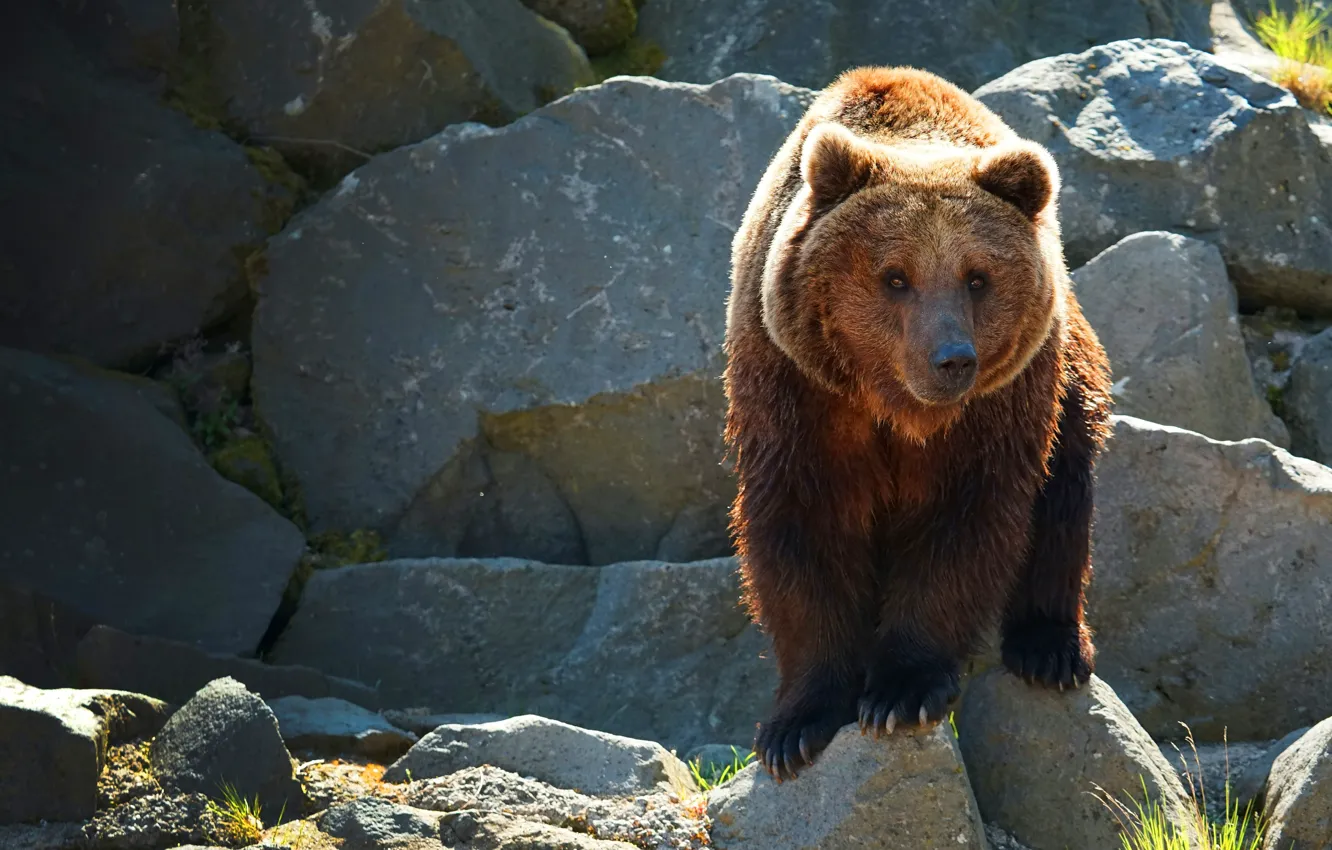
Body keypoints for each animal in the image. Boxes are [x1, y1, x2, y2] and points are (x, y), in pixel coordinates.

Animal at [724, 68, 1108, 788]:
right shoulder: (797, 396)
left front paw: (901, 691)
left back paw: (1049, 646)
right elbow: (801, 534)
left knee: (1066, 489)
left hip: (1067, 372)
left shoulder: (993, 413)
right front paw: (795, 726)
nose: (952, 358)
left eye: (977, 277)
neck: (898, 408)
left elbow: (963, 527)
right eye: (895, 276)